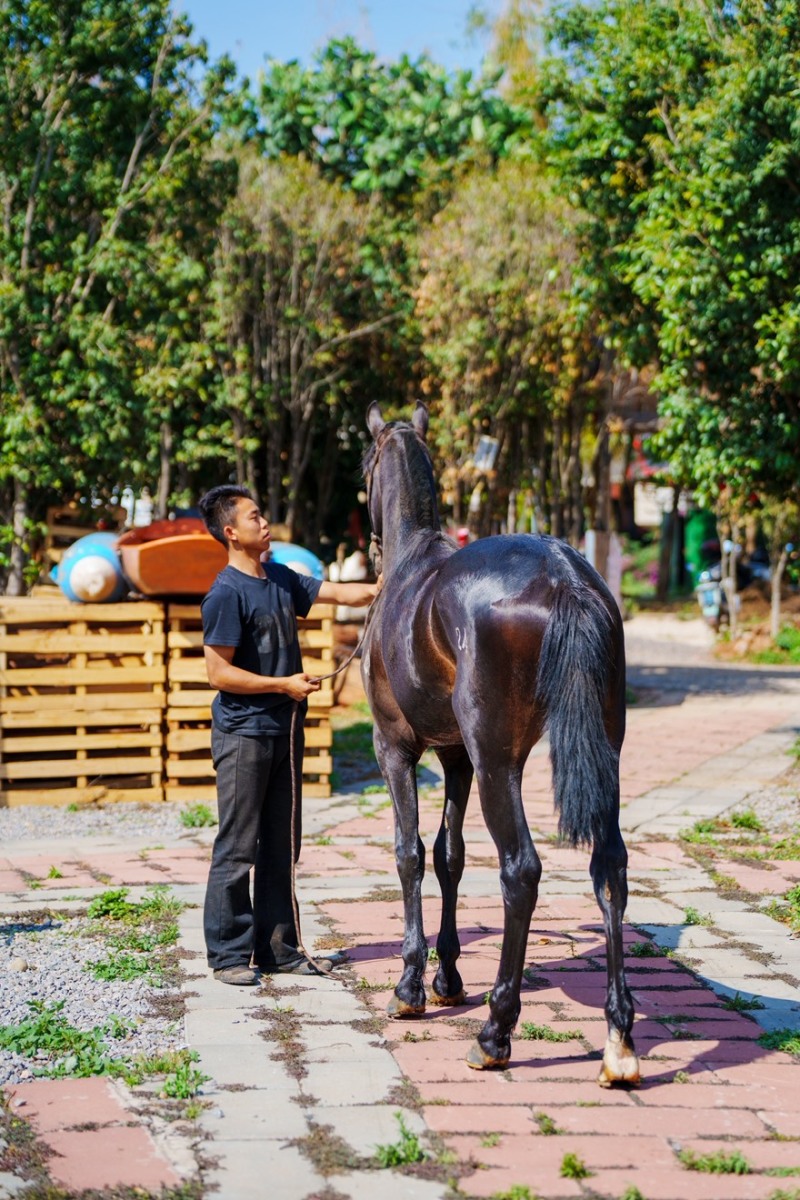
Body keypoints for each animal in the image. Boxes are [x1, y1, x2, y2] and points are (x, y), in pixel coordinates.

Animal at [360, 401, 639, 1086]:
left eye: (363, 468)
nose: (369, 546)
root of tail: (565, 577)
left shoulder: (396, 750)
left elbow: (410, 854)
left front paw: (412, 986)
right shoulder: (454, 756)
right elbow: (449, 856)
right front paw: (447, 978)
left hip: (498, 764)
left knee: (522, 871)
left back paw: (495, 1031)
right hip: (603, 754)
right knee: (610, 868)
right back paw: (619, 1039)